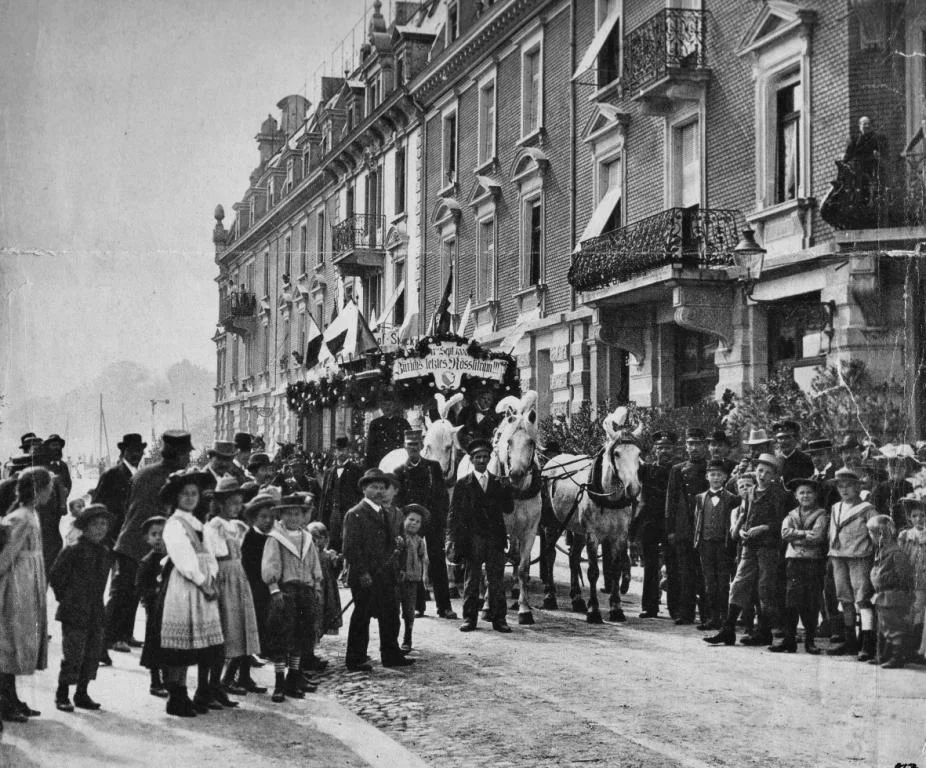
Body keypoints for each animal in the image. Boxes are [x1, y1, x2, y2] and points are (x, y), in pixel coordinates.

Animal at [456, 390, 544, 624]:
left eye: (531, 442)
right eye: (509, 440)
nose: (516, 474)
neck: (516, 492)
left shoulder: (529, 530)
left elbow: (522, 567)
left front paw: (524, 609)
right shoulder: (493, 530)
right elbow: (490, 567)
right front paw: (487, 606)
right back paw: (479, 597)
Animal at [540, 408, 640, 624]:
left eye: (638, 453)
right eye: (617, 453)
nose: (634, 488)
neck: (608, 498)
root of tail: (552, 460)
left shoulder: (619, 535)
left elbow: (615, 569)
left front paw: (616, 609)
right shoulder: (593, 535)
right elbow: (594, 571)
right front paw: (594, 610)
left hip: (577, 529)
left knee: (573, 558)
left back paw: (577, 599)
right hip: (552, 524)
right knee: (550, 555)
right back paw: (550, 596)